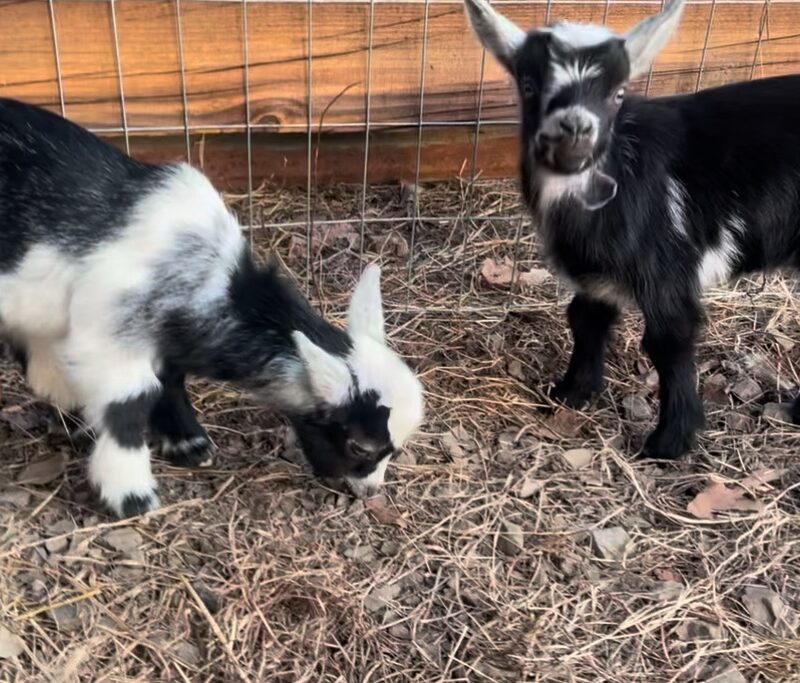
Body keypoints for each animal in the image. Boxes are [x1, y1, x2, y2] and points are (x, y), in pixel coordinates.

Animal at [0, 98, 424, 517]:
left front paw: (188, 443)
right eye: (359, 446)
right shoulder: (106, 333)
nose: (369, 492)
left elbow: (168, 377)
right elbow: (130, 402)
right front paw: (131, 495)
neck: (214, 279)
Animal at [465, 0, 800, 458]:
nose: (574, 129)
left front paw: (670, 440)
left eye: (617, 93)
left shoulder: (666, 269)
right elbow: (585, 318)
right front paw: (572, 391)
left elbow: (668, 340)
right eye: (529, 84)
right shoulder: (596, 276)